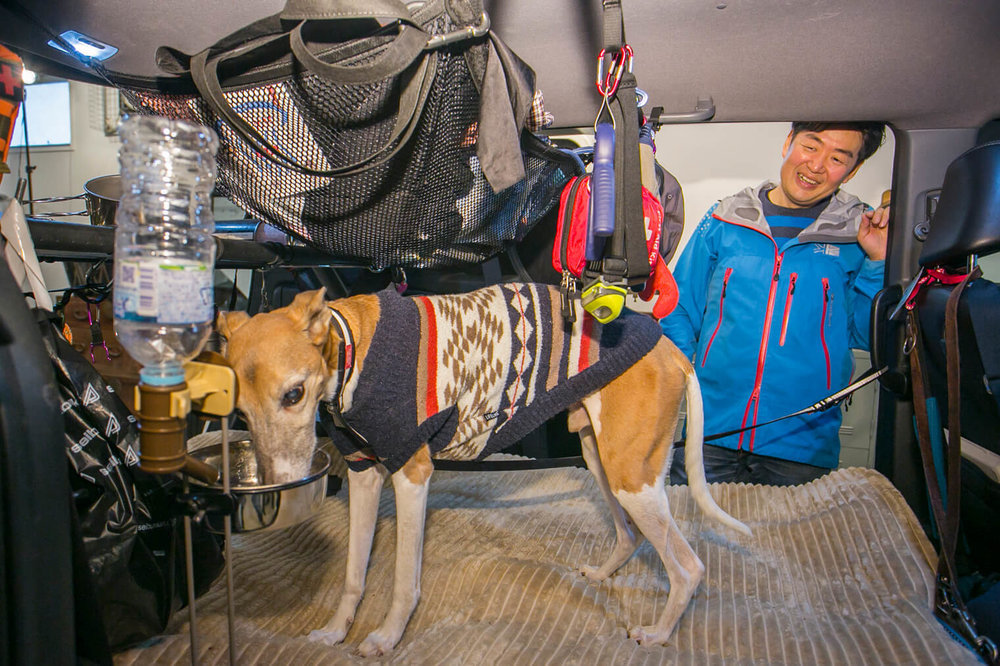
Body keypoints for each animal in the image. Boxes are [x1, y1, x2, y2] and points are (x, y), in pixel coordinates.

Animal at [219, 280, 752, 652]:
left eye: (293, 394)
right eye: (238, 411)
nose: (282, 489)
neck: (353, 350)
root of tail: (672, 351)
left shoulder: (411, 475)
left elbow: (404, 581)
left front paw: (387, 638)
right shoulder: (364, 474)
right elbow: (353, 574)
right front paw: (334, 633)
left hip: (631, 477)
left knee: (688, 568)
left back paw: (658, 634)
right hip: (603, 461)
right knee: (630, 536)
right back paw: (603, 575)